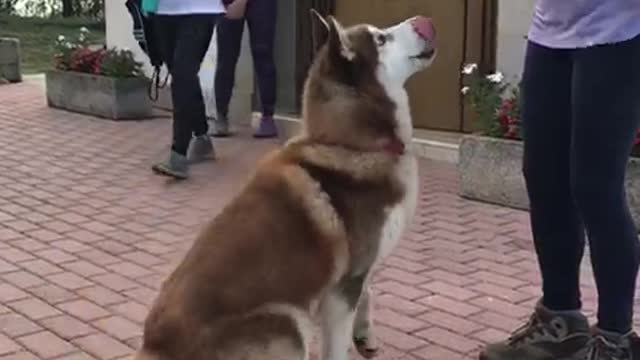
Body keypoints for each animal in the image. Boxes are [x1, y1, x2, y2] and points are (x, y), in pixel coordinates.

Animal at [133, 10, 438, 360]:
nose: (425, 20)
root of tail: (153, 349)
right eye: (381, 39)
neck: (353, 144)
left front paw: (365, 335)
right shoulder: (339, 293)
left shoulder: (356, 272)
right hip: (290, 322)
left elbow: (368, 292)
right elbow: (338, 345)